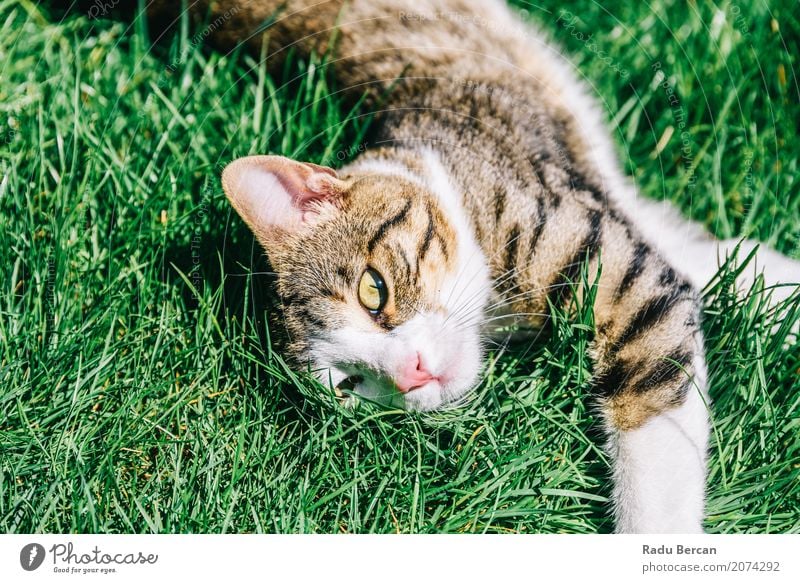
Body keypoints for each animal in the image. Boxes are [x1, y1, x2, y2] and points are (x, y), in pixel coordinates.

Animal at [147, 0, 796, 532]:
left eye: (373, 291)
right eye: (348, 385)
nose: (411, 374)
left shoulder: (613, 268)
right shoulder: (616, 223)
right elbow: (687, 261)